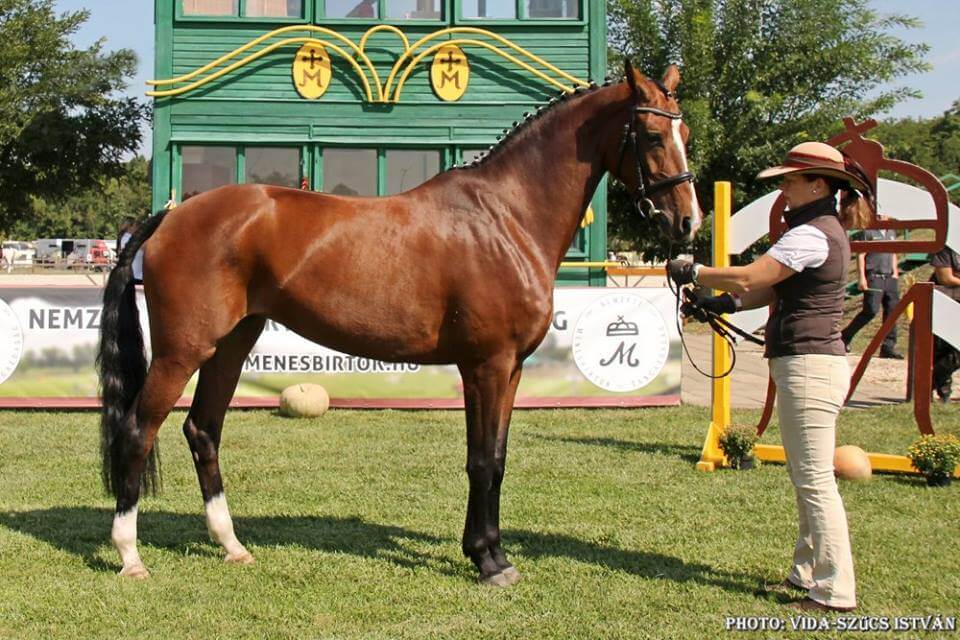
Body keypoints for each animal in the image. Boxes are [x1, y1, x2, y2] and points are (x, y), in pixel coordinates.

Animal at [98, 60, 702, 585]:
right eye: (651, 135)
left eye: (686, 132)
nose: (688, 222)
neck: (505, 217)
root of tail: (171, 215)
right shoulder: (485, 366)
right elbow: (481, 460)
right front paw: (488, 561)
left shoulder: (509, 370)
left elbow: (498, 458)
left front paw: (491, 553)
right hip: (183, 351)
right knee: (138, 430)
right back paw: (130, 556)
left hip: (230, 345)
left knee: (203, 429)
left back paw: (232, 546)